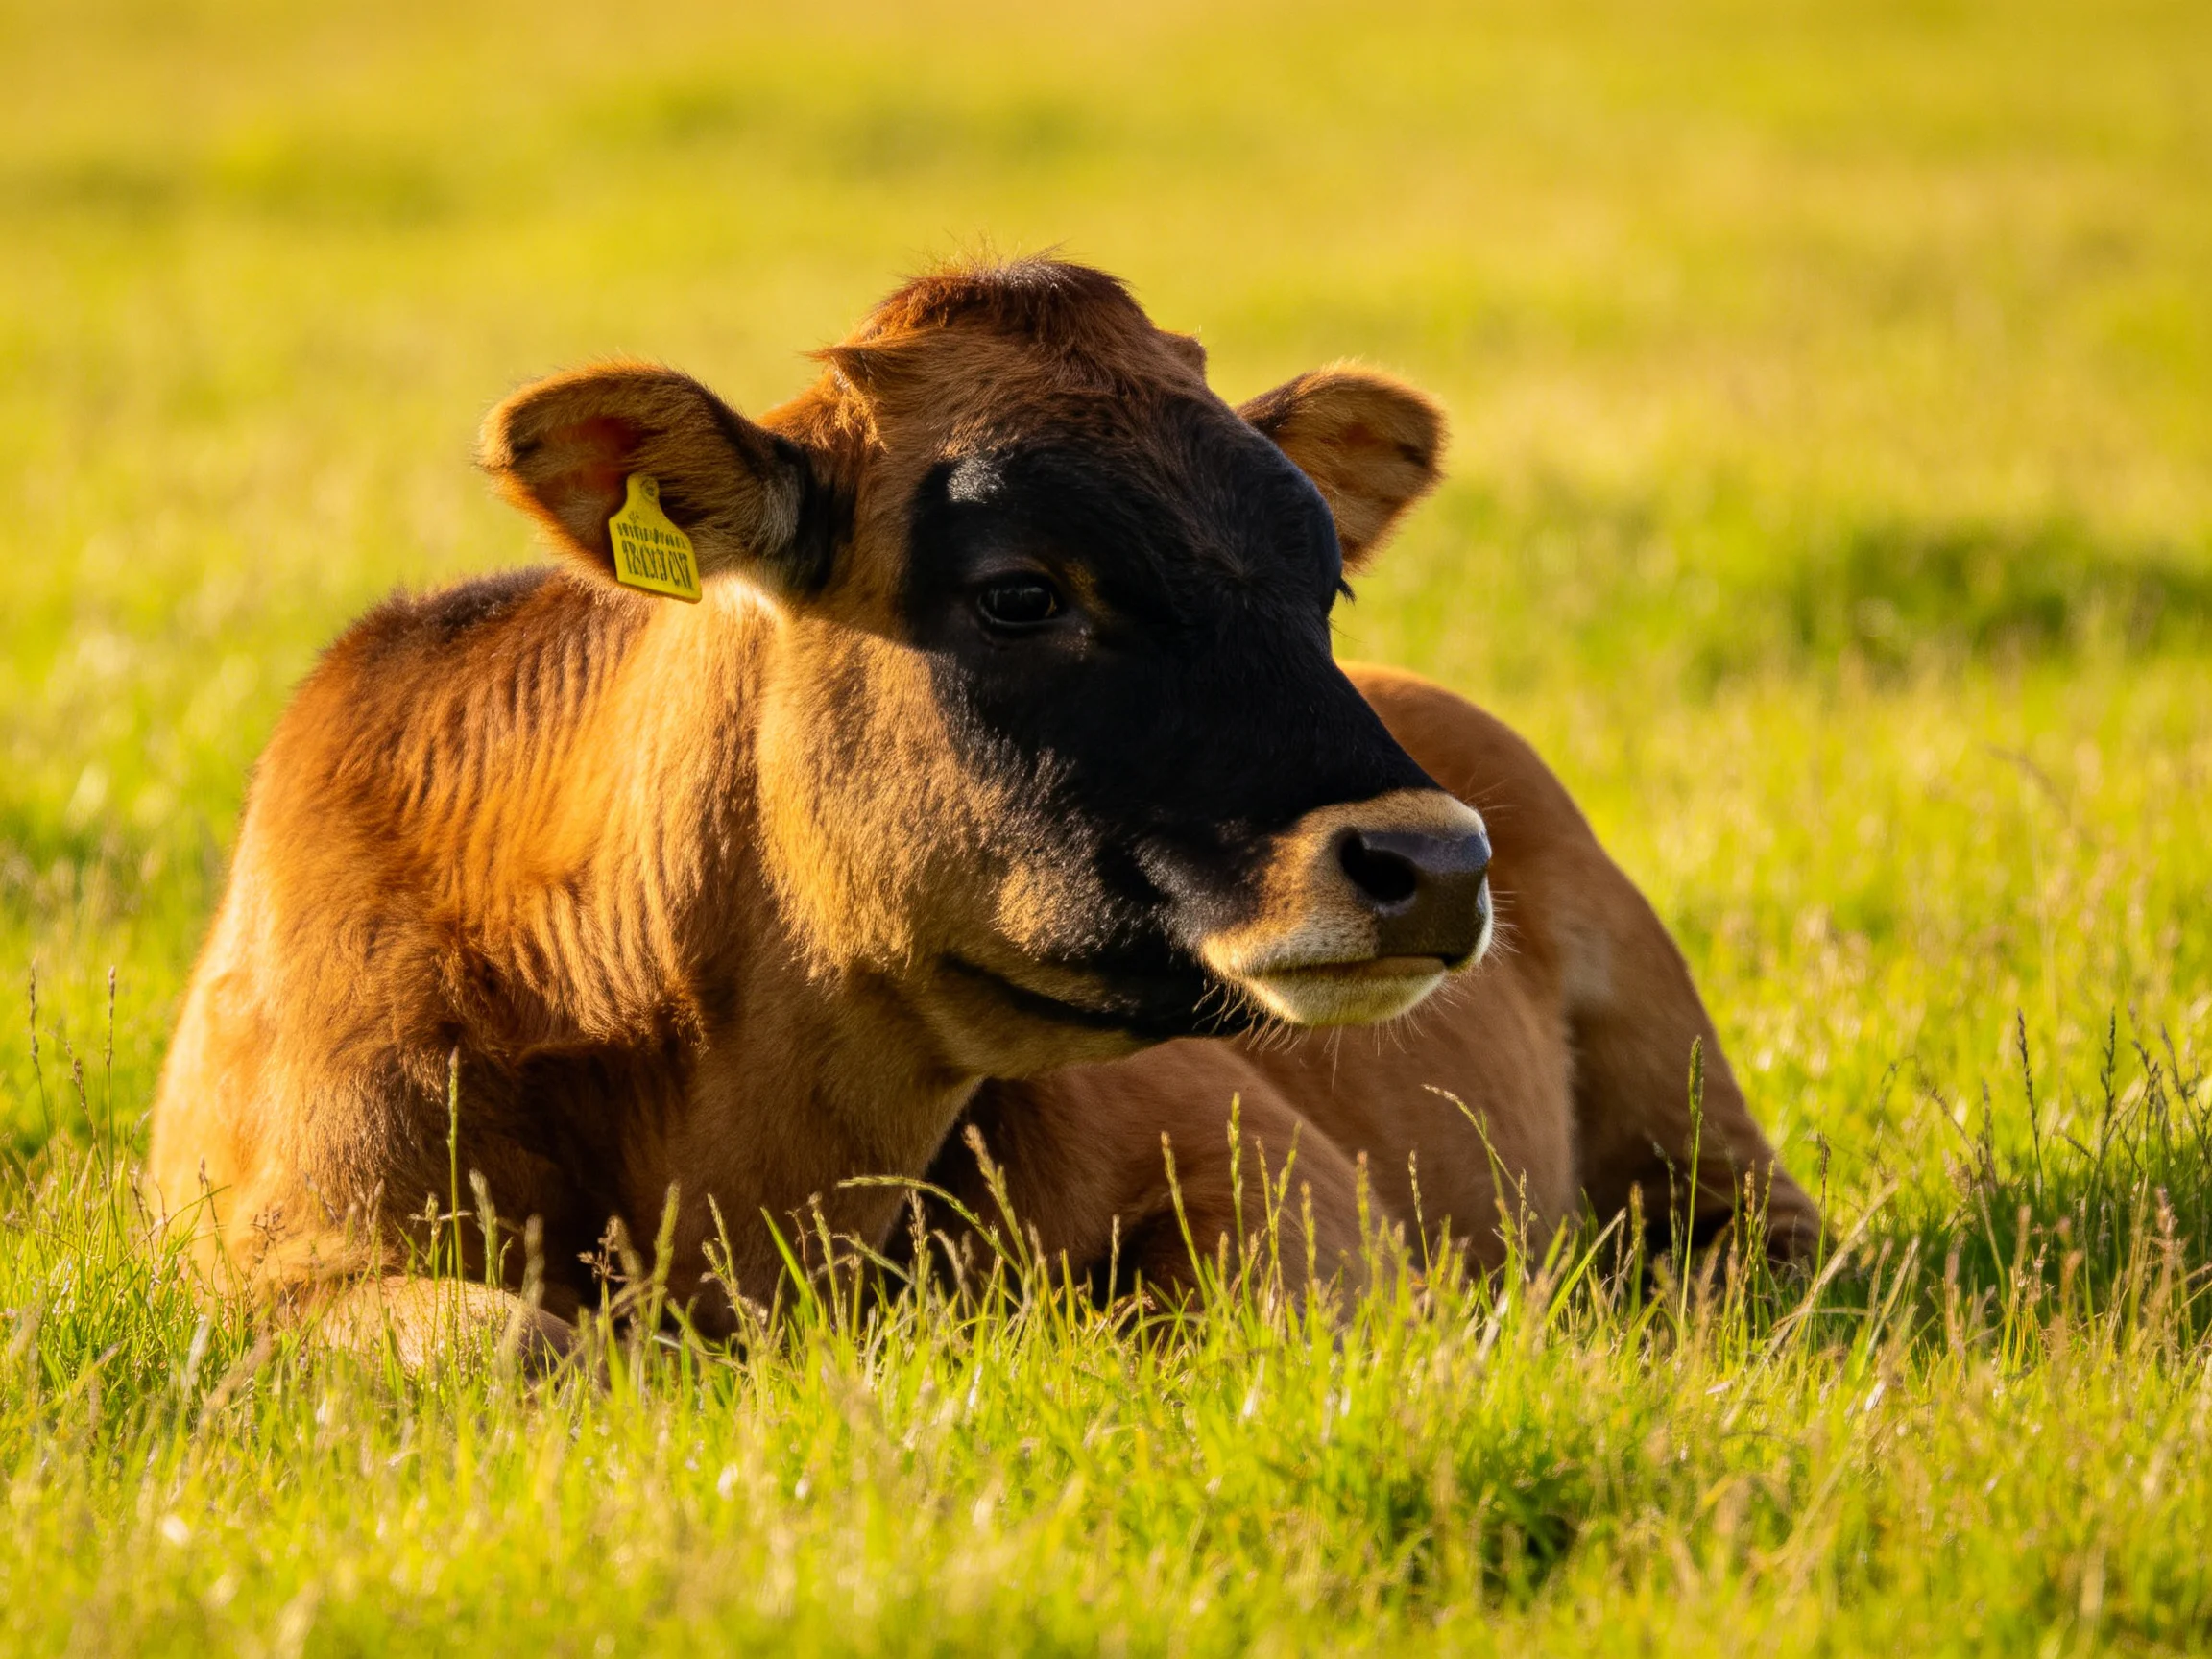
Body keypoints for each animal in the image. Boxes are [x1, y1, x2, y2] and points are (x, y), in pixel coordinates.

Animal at [146, 257, 1814, 1361]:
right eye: (1022, 594)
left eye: (1323, 582)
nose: (1433, 859)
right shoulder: (264, 1251)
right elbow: (515, 1345)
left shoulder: (1282, 1184)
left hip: (1699, 1124)